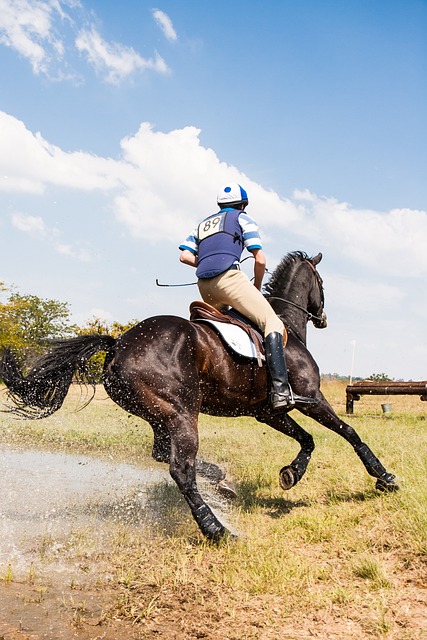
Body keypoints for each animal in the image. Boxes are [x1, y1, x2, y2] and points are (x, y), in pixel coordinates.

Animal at [1, 251, 400, 540]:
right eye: (321, 283)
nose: (323, 317)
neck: (285, 326)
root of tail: (118, 345)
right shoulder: (311, 398)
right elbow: (348, 432)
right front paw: (384, 477)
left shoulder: (269, 411)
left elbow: (308, 439)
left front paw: (291, 473)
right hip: (181, 413)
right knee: (180, 469)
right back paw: (217, 529)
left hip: (160, 414)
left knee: (164, 454)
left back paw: (222, 483)